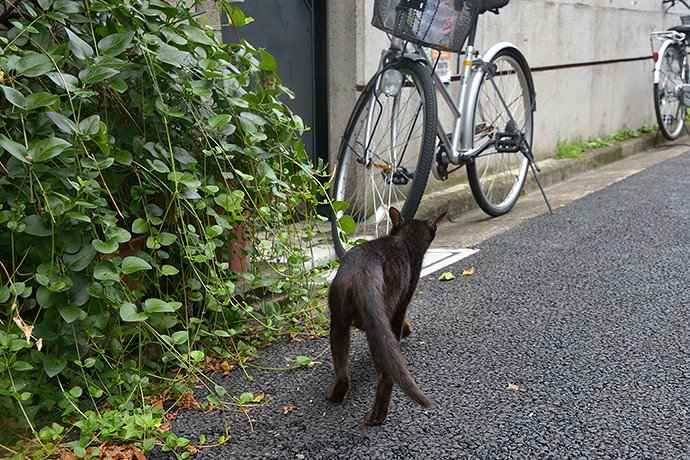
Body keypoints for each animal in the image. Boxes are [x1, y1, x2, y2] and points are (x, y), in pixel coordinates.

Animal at [324, 208, 444, 424]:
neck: (404, 241)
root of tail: (361, 274)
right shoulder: (402, 302)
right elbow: (399, 325)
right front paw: (406, 331)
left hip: (339, 321)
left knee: (343, 373)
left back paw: (334, 395)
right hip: (376, 323)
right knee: (386, 377)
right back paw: (376, 418)